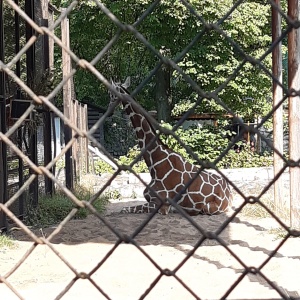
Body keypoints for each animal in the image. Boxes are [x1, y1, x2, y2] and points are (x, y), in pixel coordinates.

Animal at [108, 77, 232, 216]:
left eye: (111, 94)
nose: (109, 112)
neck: (154, 162)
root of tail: (230, 194)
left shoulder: (159, 203)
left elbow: (123, 209)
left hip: (208, 208)